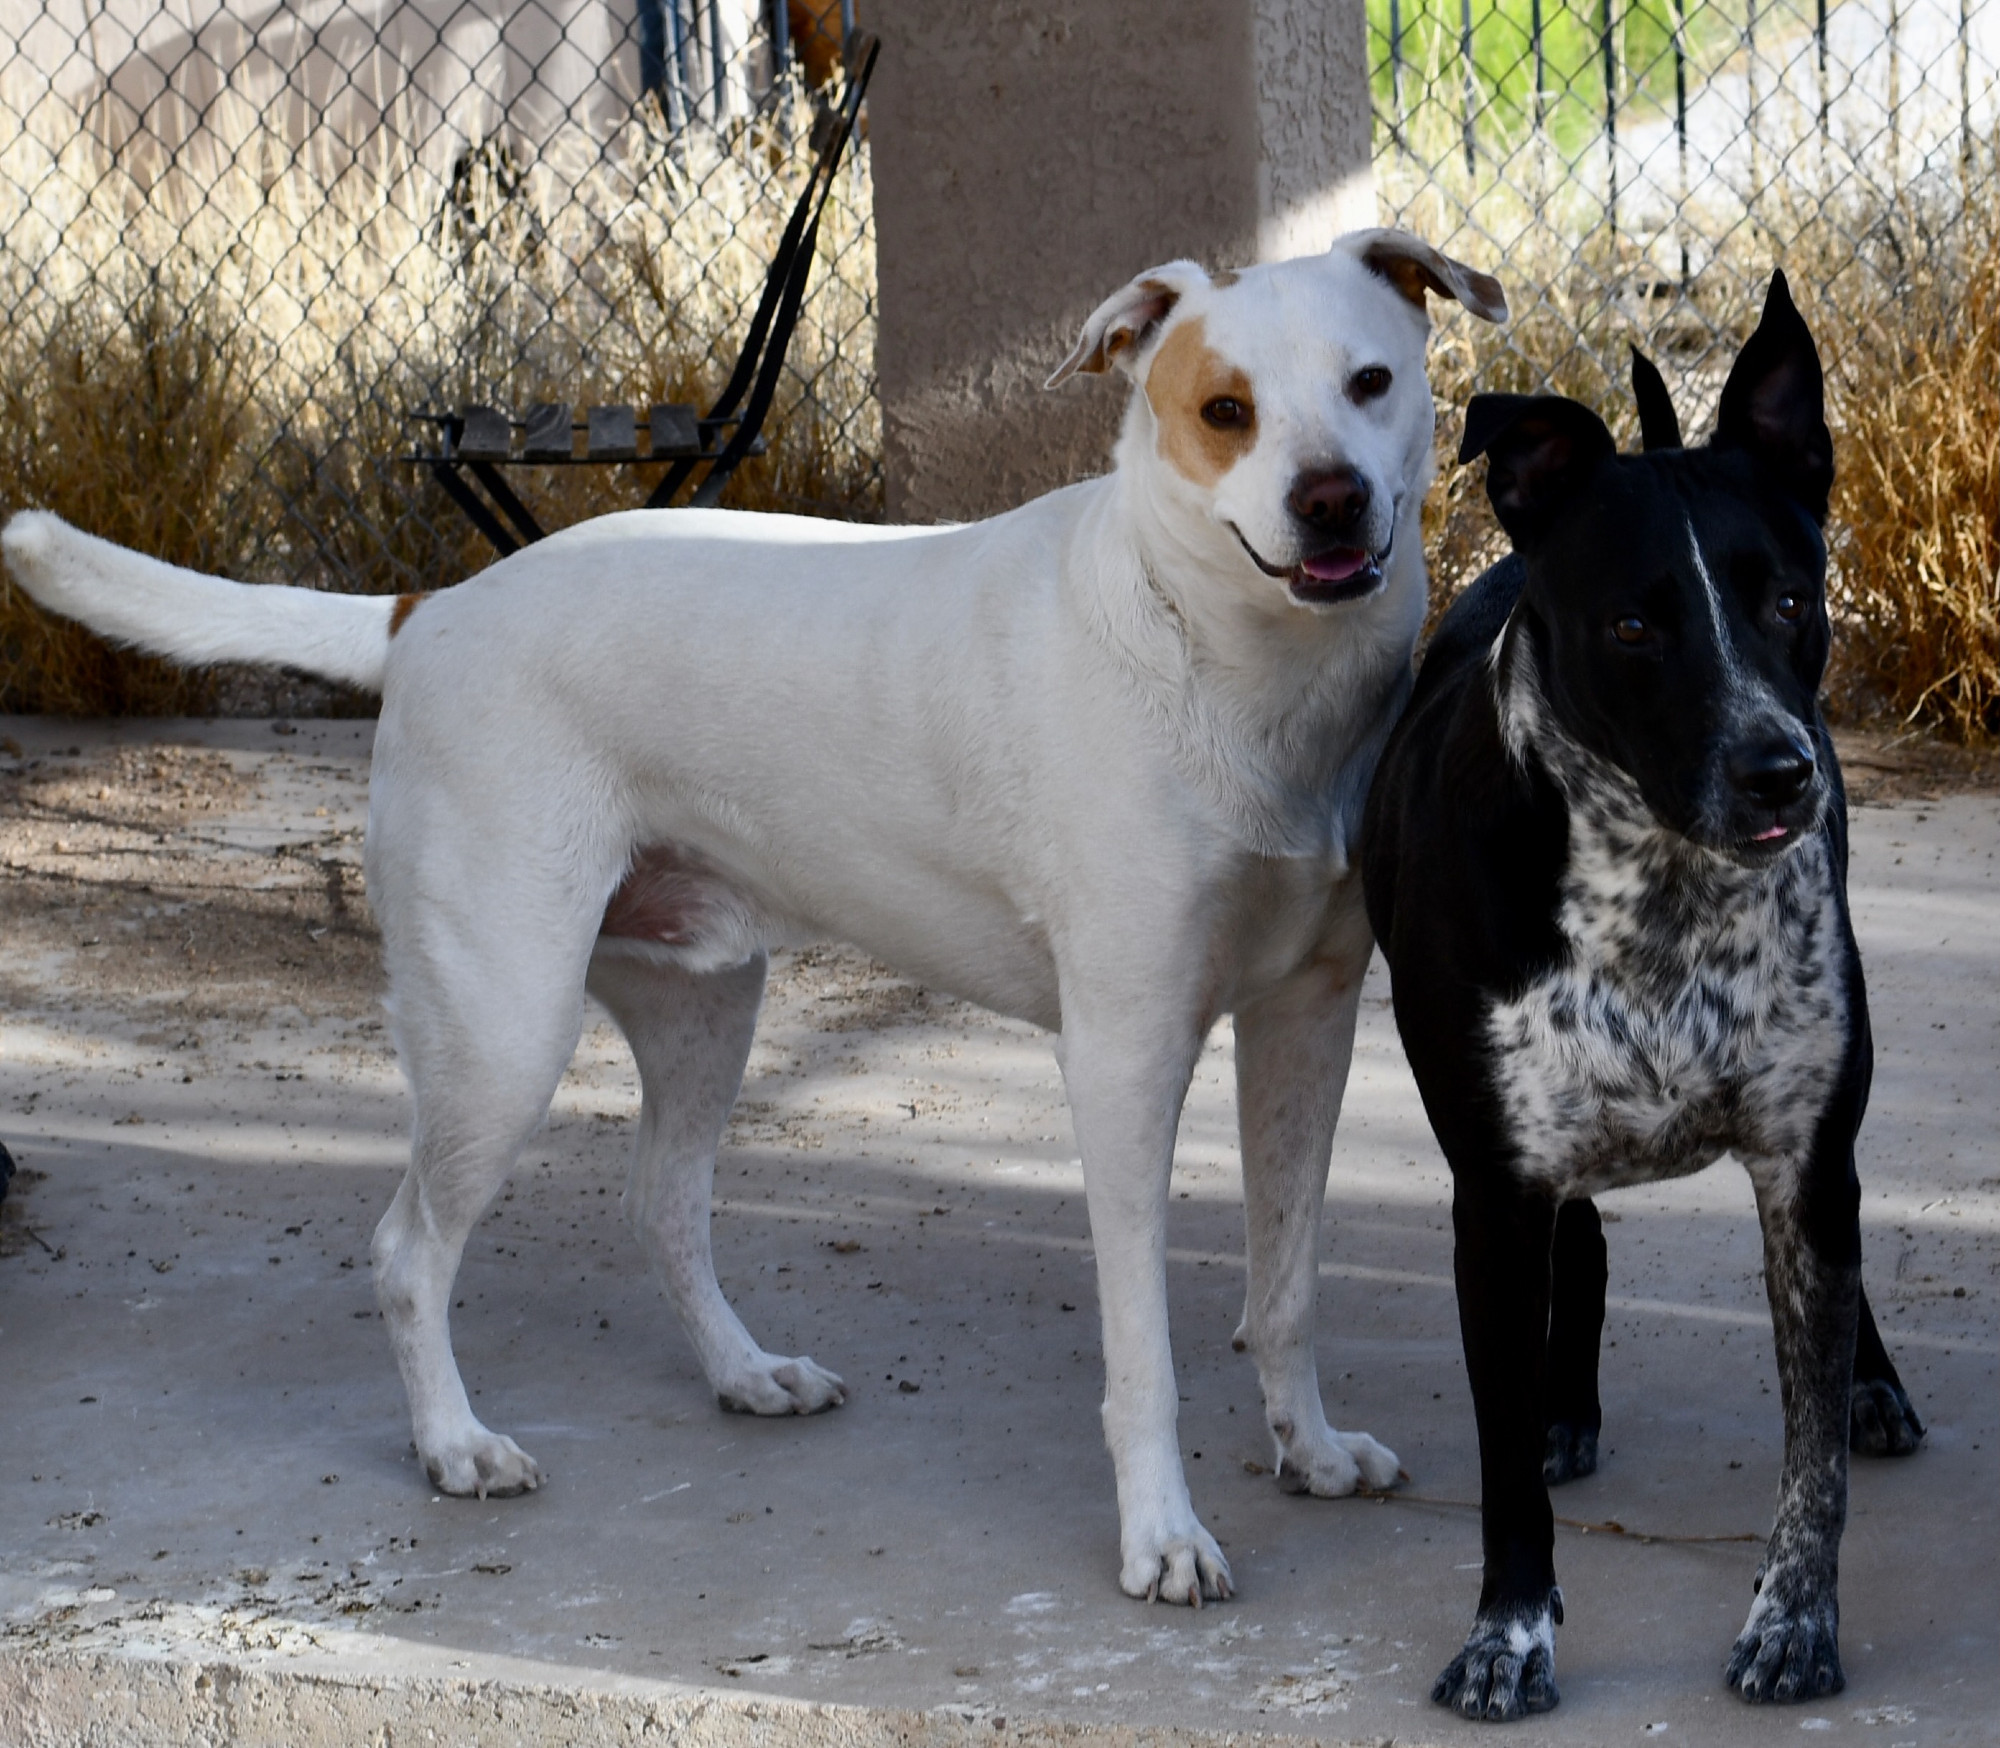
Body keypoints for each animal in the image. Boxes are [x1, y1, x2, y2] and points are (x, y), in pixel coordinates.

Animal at [0, 225, 1504, 1600]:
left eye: (1371, 380)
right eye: (1223, 411)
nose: (1330, 501)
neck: (1221, 660)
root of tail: (429, 611)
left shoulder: (1307, 1024)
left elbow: (1287, 1284)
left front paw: (1309, 1451)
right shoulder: (1125, 1059)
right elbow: (1144, 1349)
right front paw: (1163, 1535)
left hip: (703, 1003)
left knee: (663, 1202)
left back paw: (740, 1372)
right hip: (503, 1027)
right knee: (408, 1250)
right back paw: (453, 1444)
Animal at [1368, 276, 1912, 1720]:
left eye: (1790, 599)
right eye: (1630, 625)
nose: (1781, 772)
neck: (1664, 896)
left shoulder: (1801, 1161)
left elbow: (1808, 1456)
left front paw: (1794, 1619)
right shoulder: (1496, 1192)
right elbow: (1503, 1467)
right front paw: (1508, 1632)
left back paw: (1873, 1385)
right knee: (1586, 1248)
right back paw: (1566, 1402)